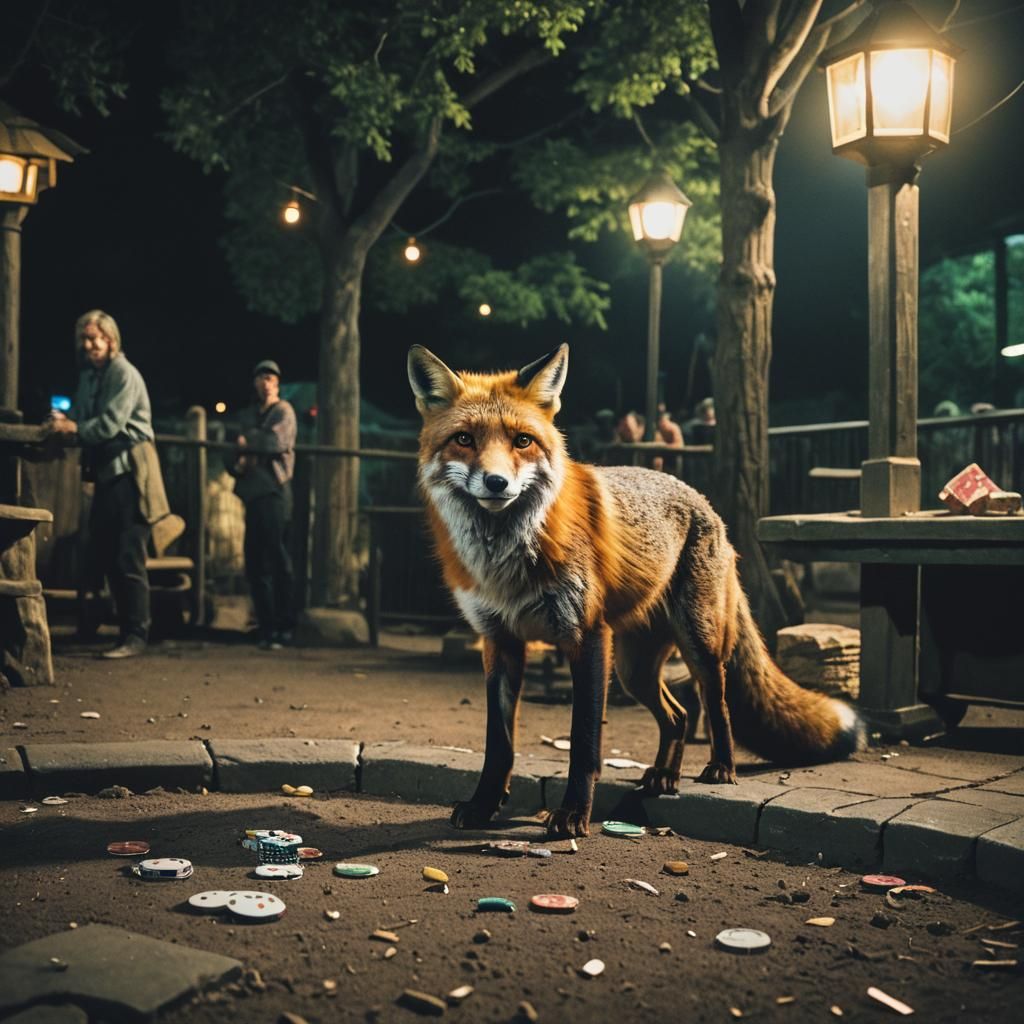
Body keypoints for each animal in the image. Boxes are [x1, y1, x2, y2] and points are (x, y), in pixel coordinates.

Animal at [408, 343, 865, 837]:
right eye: (464, 439)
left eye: (522, 441)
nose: (497, 483)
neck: (506, 558)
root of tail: (705, 503)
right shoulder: (500, 641)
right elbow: (499, 744)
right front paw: (484, 805)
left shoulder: (587, 636)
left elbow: (584, 742)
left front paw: (573, 814)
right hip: (634, 669)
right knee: (678, 716)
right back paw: (664, 776)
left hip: (696, 643)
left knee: (717, 702)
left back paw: (721, 768)